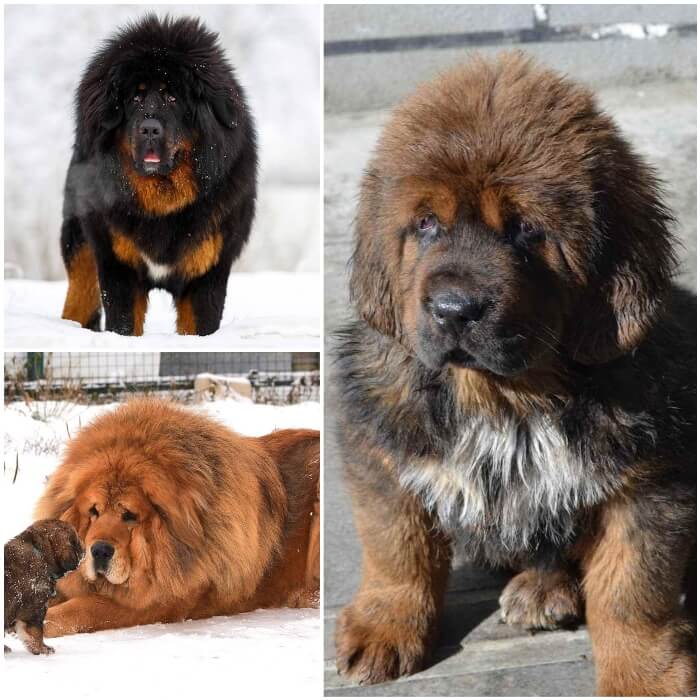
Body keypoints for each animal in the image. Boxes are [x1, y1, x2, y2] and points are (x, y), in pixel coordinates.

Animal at [4, 516, 83, 652]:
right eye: (75, 542)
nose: (85, 549)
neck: (41, 554)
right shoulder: (35, 609)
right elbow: (37, 633)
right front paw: (42, 649)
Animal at [60, 15, 258, 334]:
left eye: (173, 98)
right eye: (135, 98)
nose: (150, 129)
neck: (163, 203)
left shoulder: (207, 273)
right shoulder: (118, 266)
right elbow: (124, 324)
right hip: (80, 240)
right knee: (80, 292)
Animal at [334, 53, 696, 696]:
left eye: (526, 228)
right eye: (425, 224)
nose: (454, 309)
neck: (507, 400)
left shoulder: (651, 482)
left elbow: (632, 589)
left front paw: (644, 677)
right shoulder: (379, 446)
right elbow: (394, 549)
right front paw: (384, 624)